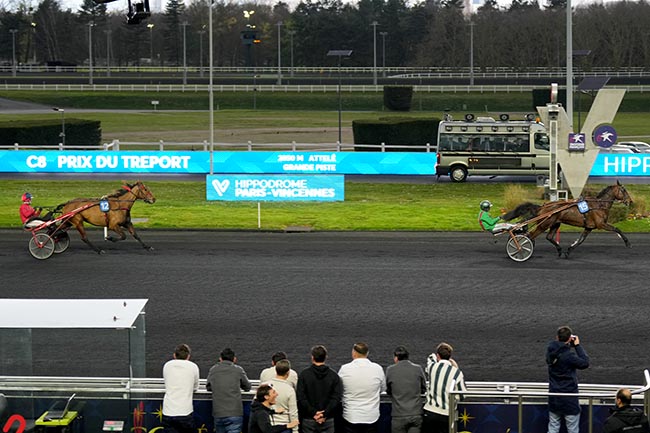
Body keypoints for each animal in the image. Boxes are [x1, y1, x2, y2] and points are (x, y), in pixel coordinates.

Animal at [504, 181, 632, 256]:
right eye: (623, 190)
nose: (630, 201)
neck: (599, 205)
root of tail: (542, 206)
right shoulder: (601, 224)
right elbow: (617, 229)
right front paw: (628, 243)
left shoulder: (589, 227)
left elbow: (581, 240)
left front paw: (569, 251)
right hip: (544, 224)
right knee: (530, 236)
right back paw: (520, 250)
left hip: (555, 223)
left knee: (548, 237)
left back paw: (559, 250)